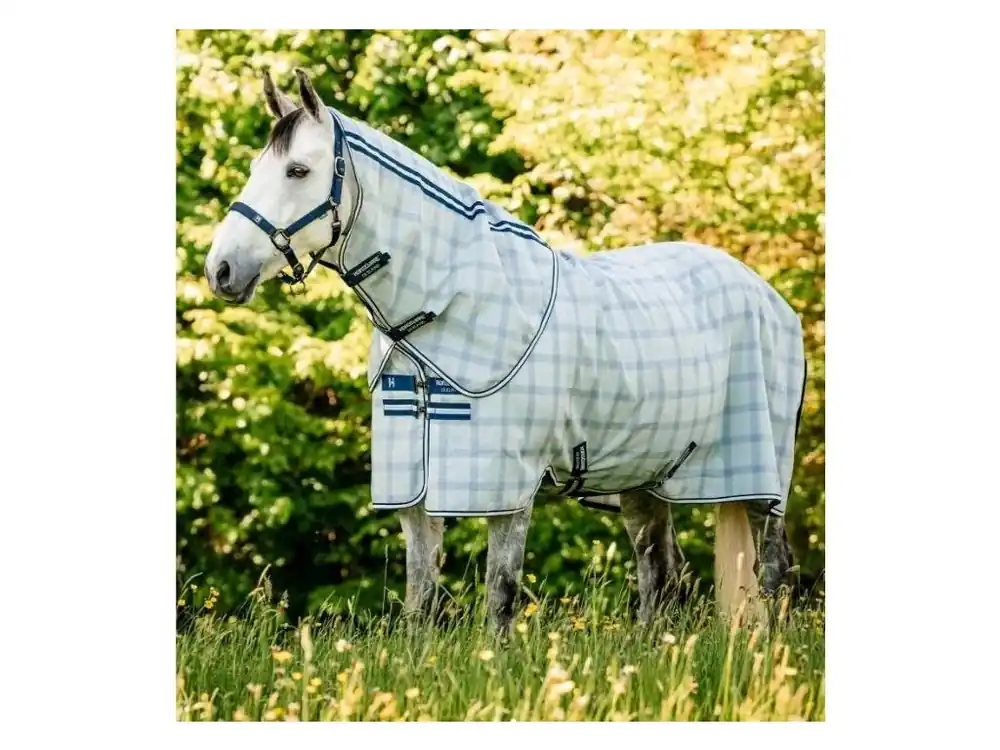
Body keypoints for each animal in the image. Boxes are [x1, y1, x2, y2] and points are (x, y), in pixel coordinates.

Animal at [203, 68, 804, 633]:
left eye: (297, 171)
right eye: (258, 168)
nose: (222, 270)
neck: (444, 310)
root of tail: (770, 297)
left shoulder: (506, 485)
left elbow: (500, 596)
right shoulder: (414, 492)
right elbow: (420, 600)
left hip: (761, 483)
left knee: (771, 574)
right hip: (646, 479)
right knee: (661, 575)